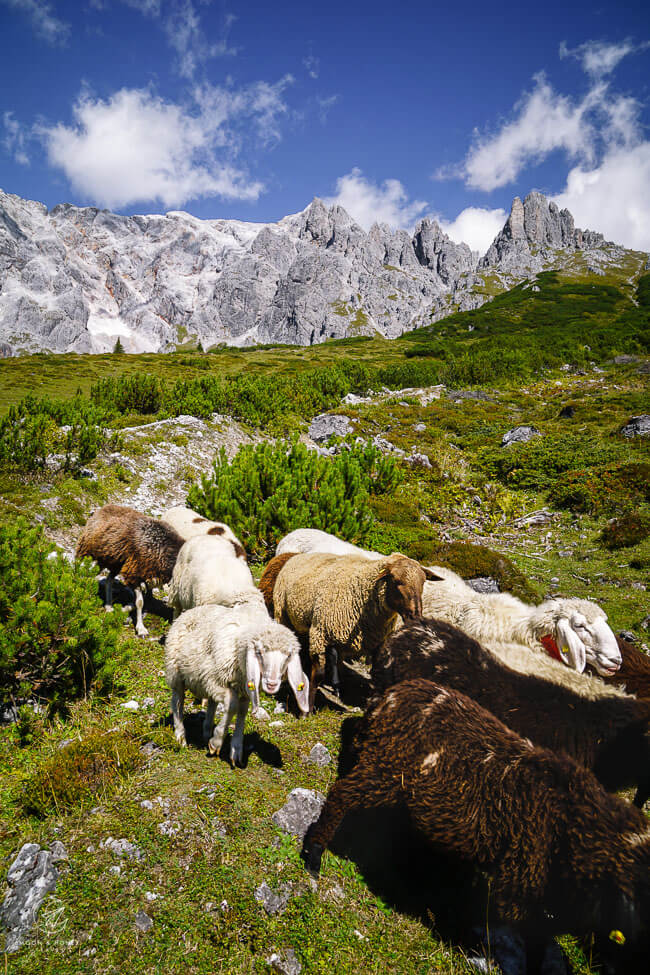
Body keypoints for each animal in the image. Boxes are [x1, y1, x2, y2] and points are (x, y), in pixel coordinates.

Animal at [75, 504, 184, 640]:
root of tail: (103, 508)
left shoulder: (148, 578)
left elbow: (144, 601)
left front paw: (125, 610)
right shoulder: (134, 574)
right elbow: (140, 602)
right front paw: (141, 629)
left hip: (115, 562)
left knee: (109, 580)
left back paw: (109, 606)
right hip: (88, 551)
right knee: (82, 571)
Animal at [166, 608, 310, 768]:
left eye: (289, 655)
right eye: (259, 652)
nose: (272, 684)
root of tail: (189, 611)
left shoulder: (244, 690)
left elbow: (241, 713)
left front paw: (236, 749)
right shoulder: (218, 682)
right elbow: (232, 706)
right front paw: (217, 742)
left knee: (211, 703)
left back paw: (206, 732)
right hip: (176, 672)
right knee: (177, 701)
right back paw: (180, 737)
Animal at [302, 680, 648, 975]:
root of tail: (391, 695)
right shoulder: (519, 883)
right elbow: (532, 941)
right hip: (385, 767)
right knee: (342, 794)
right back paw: (314, 853)